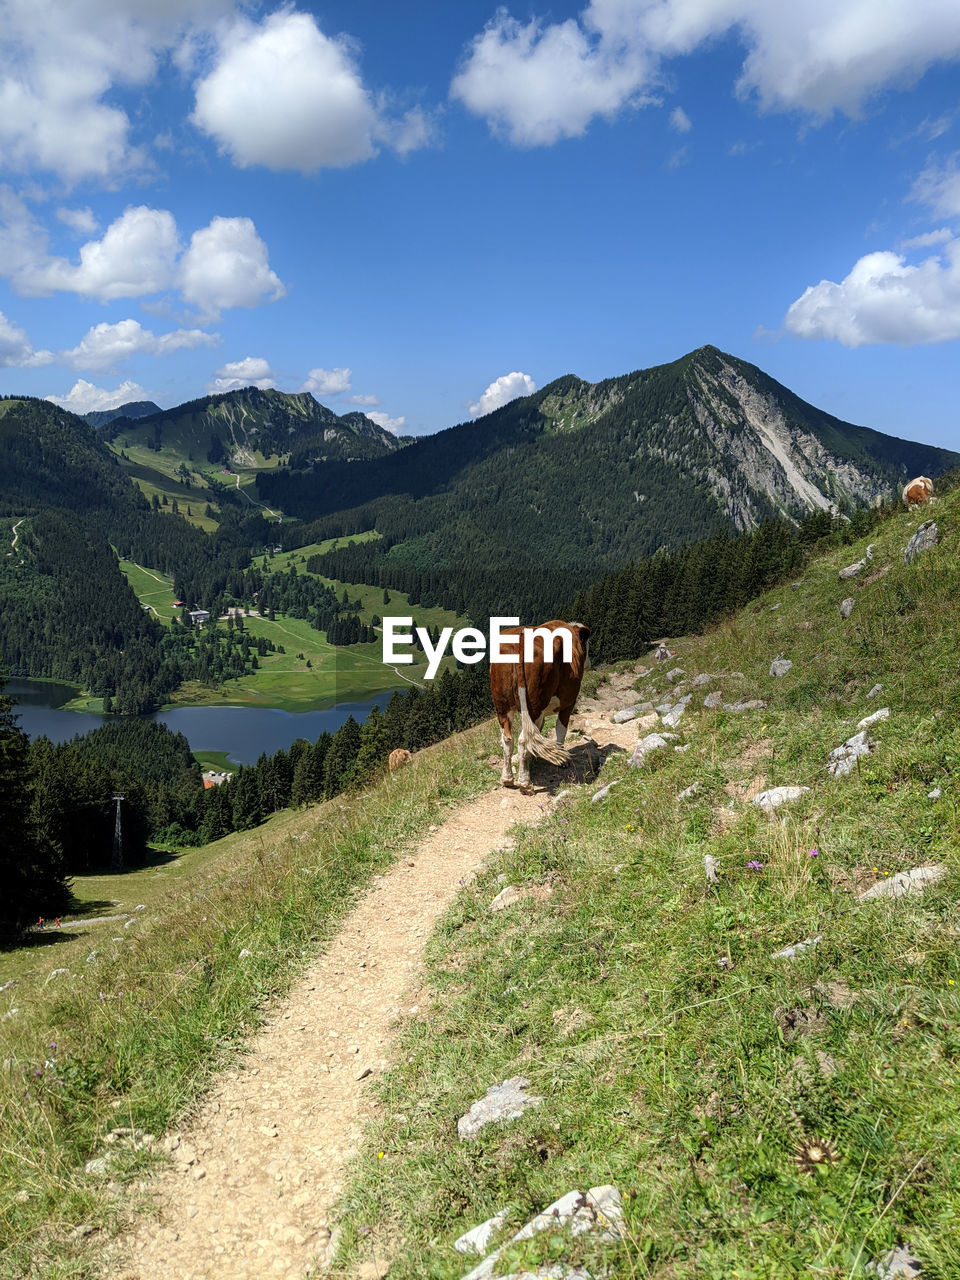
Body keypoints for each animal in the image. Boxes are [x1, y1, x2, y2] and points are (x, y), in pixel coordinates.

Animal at [491, 619, 591, 788]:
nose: (590, 663)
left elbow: (538, 731)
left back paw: (507, 778)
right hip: (534, 706)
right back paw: (524, 781)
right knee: (523, 739)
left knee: (507, 740)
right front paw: (562, 759)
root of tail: (520, 637)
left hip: (502, 706)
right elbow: (560, 729)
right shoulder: (569, 702)